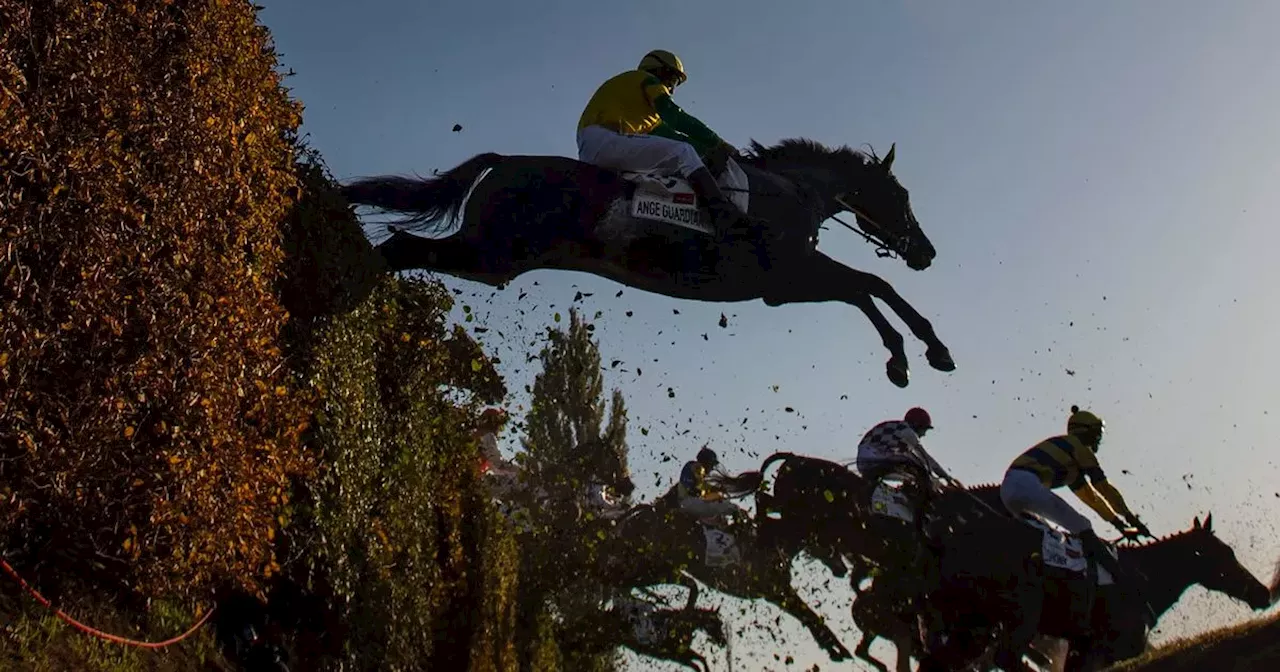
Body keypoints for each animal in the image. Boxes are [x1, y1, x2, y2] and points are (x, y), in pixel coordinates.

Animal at [340, 138, 952, 384]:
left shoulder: (789, 280)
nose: (926, 252)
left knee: (403, 249)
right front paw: (913, 352)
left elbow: (869, 286)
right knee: (399, 248)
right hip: (489, 252)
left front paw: (920, 352)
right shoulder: (785, 278)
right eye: (901, 196)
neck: (788, 192)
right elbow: (867, 285)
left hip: (490, 261)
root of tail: (505, 161)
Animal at [916, 512, 1274, 665]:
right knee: (1005, 657)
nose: (1263, 593)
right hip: (1020, 612)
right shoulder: (1113, 647)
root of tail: (940, 541)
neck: (1145, 574)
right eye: (1225, 553)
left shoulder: (1083, 647)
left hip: (966, 626)